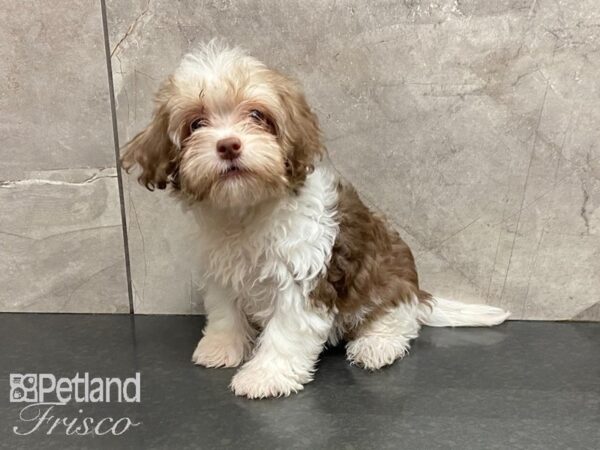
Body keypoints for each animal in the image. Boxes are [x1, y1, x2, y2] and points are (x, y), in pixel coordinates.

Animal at [123, 42, 510, 400]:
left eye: (257, 115)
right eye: (196, 123)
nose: (229, 145)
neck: (249, 208)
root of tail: (417, 290)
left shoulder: (302, 277)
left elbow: (286, 332)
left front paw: (265, 376)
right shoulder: (221, 272)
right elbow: (224, 313)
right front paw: (221, 347)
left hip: (387, 280)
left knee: (398, 318)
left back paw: (377, 345)